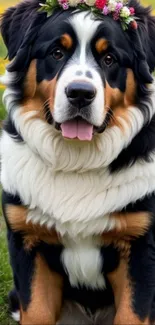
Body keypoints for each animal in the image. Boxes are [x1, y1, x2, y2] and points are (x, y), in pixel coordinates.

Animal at [0, 0, 155, 322]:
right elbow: (36, 312)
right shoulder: (28, 241)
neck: (76, 159)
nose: (80, 94)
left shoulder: (140, 249)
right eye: (57, 53)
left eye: (109, 58)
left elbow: (132, 314)